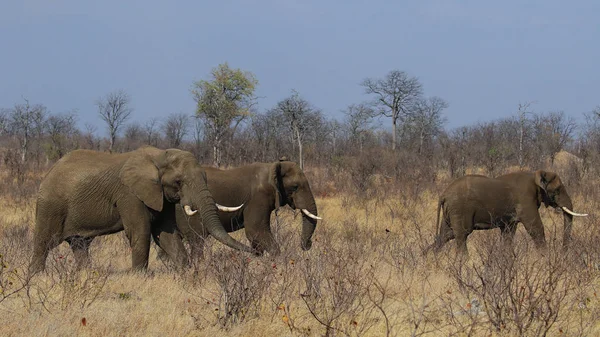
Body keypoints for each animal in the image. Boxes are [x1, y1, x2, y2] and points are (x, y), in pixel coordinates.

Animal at [29, 145, 254, 272]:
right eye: (179, 182)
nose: (254, 252)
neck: (159, 156)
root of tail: (50, 171)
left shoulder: (161, 195)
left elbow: (166, 233)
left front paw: (186, 271)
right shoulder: (129, 193)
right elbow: (140, 231)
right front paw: (139, 275)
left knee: (80, 245)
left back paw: (84, 274)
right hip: (51, 204)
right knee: (44, 242)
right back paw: (36, 276)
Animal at [166, 159, 322, 256]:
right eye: (295, 187)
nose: (308, 244)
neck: (271, 167)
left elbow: (256, 238)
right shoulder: (257, 198)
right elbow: (256, 231)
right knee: (197, 241)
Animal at [428, 171, 588, 255]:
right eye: (557, 190)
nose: (563, 252)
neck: (535, 175)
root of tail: (444, 194)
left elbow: (508, 233)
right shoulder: (525, 199)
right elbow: (535, 227)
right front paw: (544, 257)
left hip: (451, 211)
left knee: (445, 235)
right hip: (460, 209)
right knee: (461, 235)